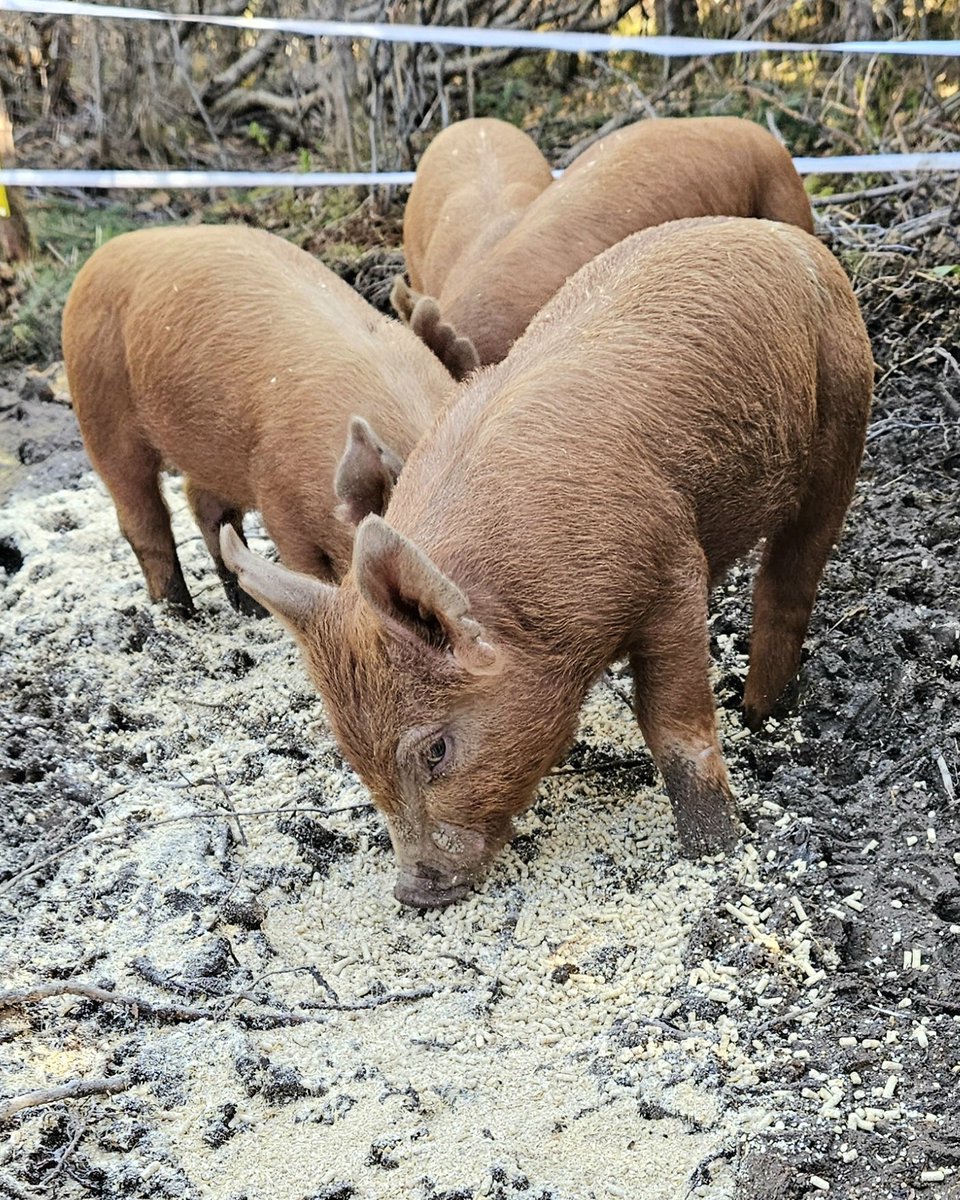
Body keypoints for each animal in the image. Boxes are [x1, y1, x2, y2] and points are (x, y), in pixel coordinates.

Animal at [62, 224, 457, 616]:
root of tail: (103, 253)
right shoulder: (280, 503)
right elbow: (305, 571)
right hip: (99, 406)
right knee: (142, 518)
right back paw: (179, 613)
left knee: (204, 504)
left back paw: (251, 610)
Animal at [221, 217, 873, 908]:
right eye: (350, 756)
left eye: (436, 751)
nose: (413, 892)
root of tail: (790, 241)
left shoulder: (674, 570)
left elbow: (672, 726)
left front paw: (713, 851)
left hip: (844, 413)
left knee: (789, 579)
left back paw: (760, 713)